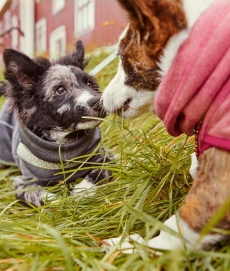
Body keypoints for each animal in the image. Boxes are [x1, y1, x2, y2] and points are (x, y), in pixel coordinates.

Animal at [0, 40, 111, 207]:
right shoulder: (22, 184)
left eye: (89, 83)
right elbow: (40, 195)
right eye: (60, 89)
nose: (100, 102)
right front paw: (62, 200)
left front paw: (82, 191)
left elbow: (98, 171)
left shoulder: (106, 157)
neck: (63, 144)